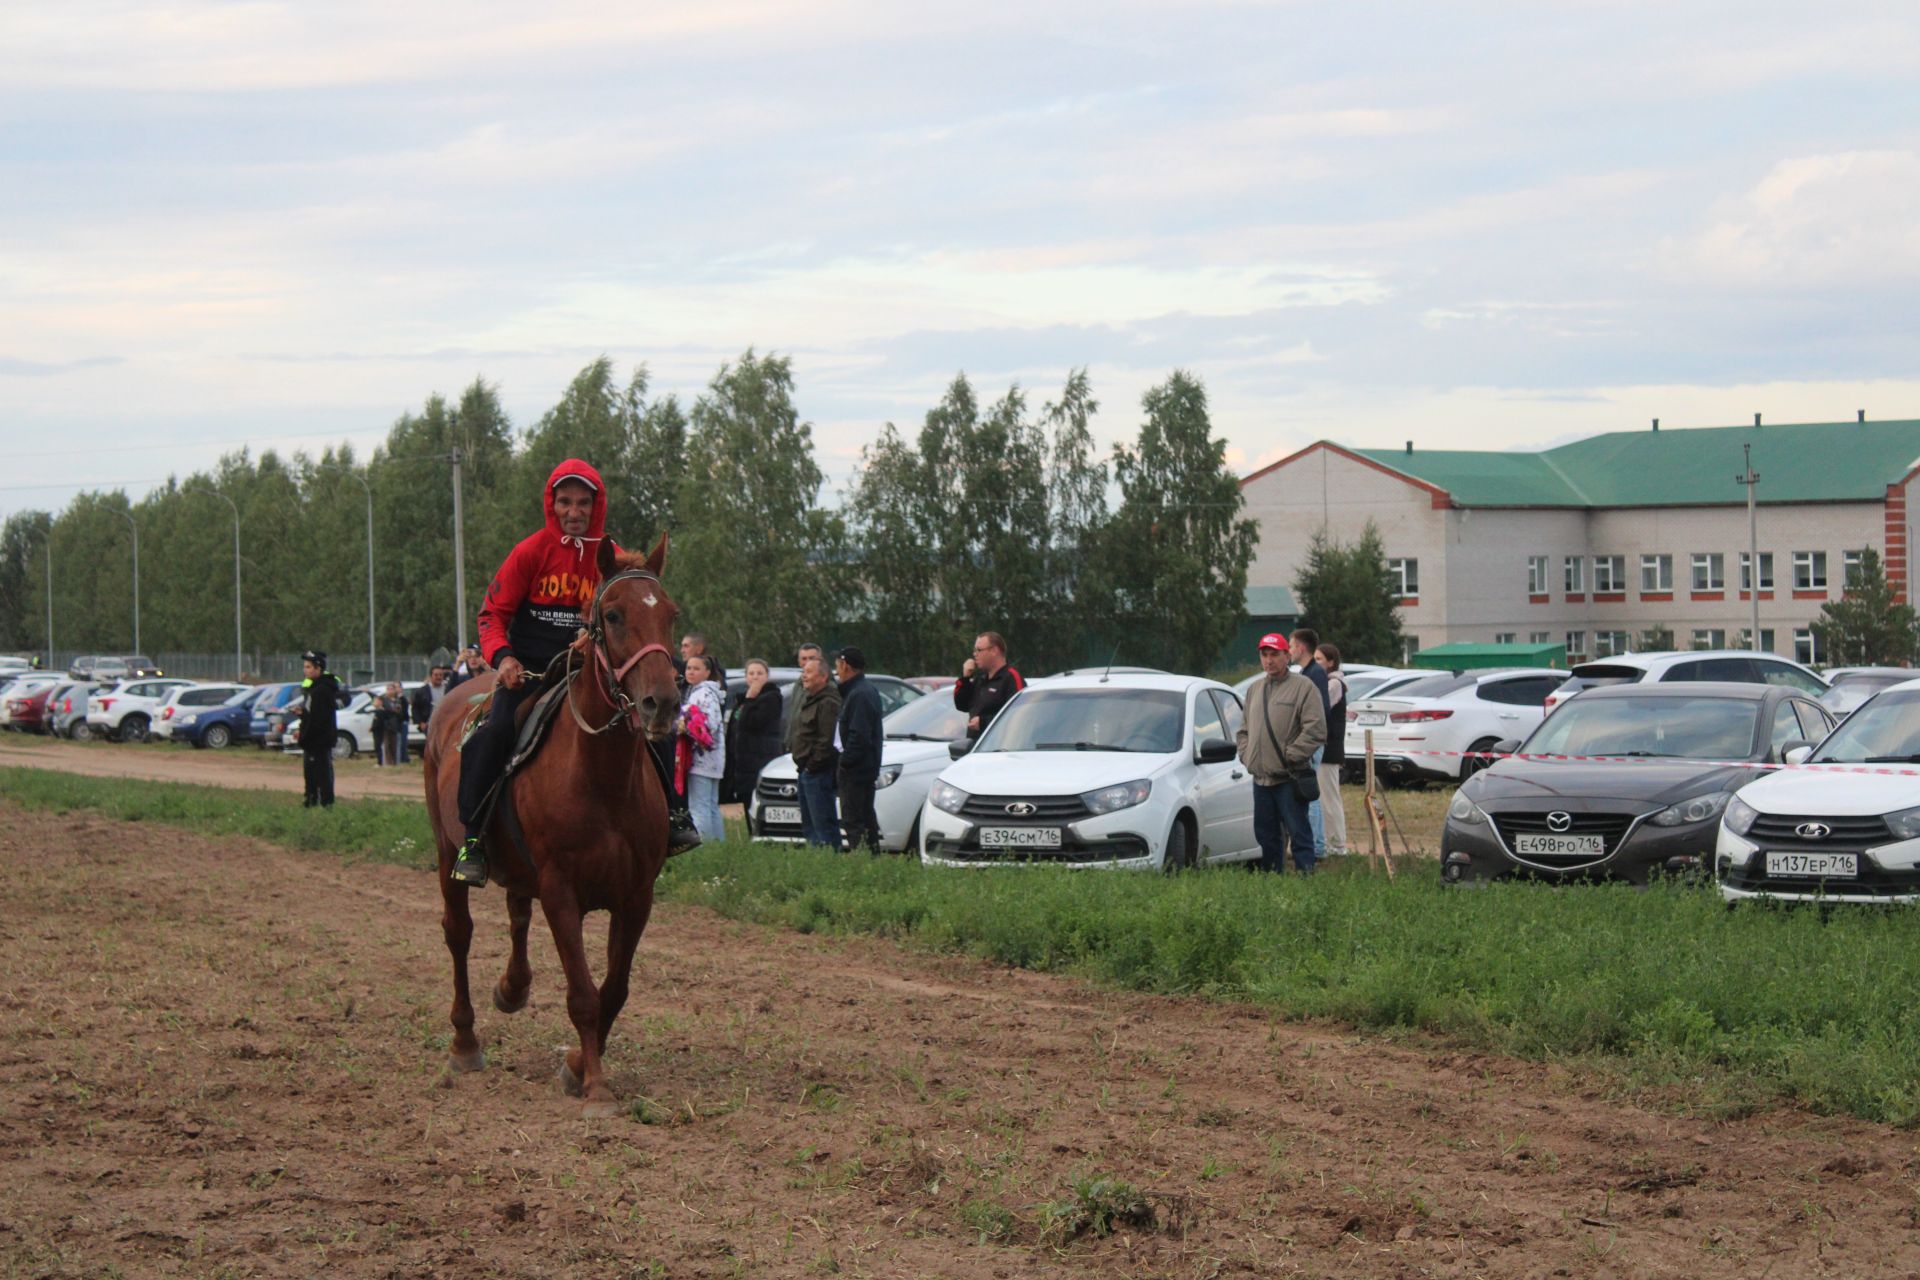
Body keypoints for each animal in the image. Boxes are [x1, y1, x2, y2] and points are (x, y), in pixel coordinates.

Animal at [422, 529, 683, 1113]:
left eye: (671, 614)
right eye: (612, 614)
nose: (661, 703)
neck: (602, 778)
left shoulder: (637, 896)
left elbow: (615, 989)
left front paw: (576, 1065)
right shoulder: (562, 891)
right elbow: (584, 994)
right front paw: (596, 1085)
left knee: (517, 913)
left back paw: (512, 988)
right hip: (448, 851)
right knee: (459, 933)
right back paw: (465, 1042)